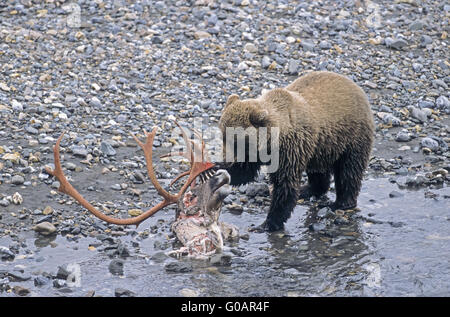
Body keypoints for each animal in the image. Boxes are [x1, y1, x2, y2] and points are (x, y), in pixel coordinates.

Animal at [218, 70, 376, 231]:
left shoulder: (289, 150)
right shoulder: (257, 153)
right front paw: (218, 172)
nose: (226, 159)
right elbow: (244, 172)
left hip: (352, 137)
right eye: (223, 137)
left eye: (235, 141)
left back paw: (341, 203)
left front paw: (268, 223)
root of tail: (356, 86)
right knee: (318, 169)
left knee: (348, 170)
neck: (270, 144)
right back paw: (308, 189)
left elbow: (285, 184)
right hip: (320, 147)